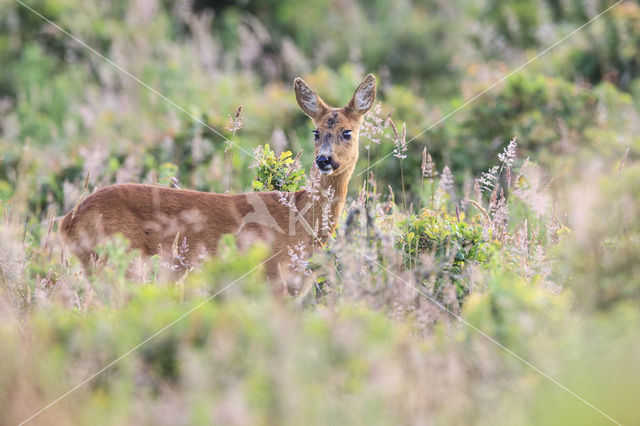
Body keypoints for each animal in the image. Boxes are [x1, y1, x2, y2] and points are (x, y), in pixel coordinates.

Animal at [61, 74, 376, 282]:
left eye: (347, 132)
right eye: (316, 132)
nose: (324, 160)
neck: (298, 220)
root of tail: (68, 221)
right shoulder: (271, 274)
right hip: (117, 259)